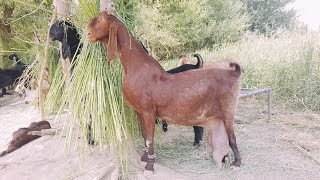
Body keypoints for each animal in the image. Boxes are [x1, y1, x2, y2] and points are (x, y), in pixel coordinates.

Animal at [86, 10, 241, 173]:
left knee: (232, 136)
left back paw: (237, 162)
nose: (87, 34)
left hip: (228, 111)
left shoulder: (149, 111)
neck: (135, 67)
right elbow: (144, 135)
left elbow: (150, 138)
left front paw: (150, 165)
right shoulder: (139, 111)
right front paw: (145, 157)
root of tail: (233, 73)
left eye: (102, 19)